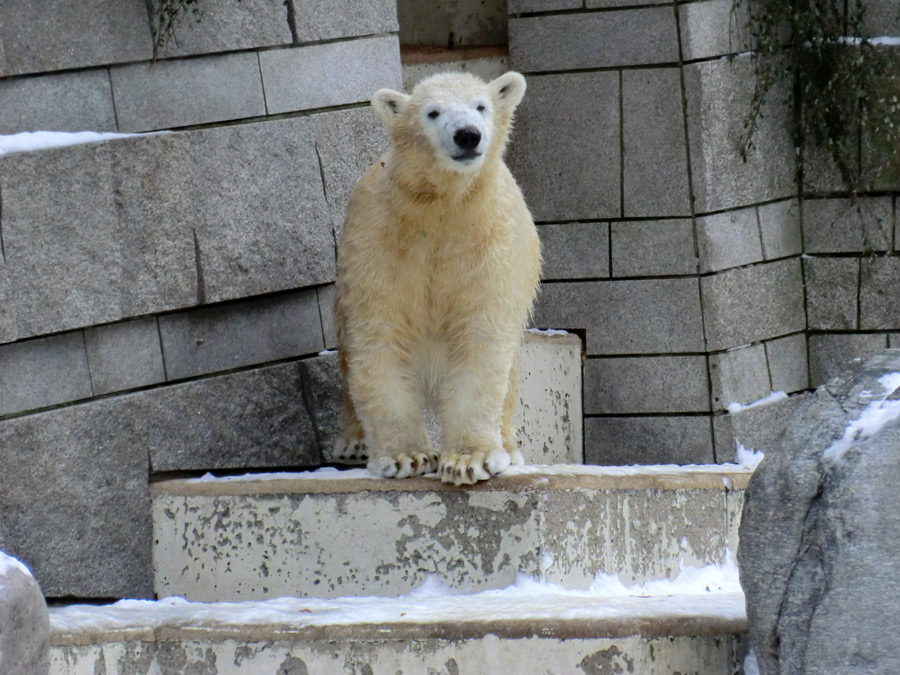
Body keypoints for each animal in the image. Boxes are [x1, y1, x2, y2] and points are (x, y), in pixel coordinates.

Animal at [332, 72, 536, 486]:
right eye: (433, 112)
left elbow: (481, 338)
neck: (443, 202)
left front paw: (469, 460)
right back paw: (354, 443)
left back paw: (508, 448)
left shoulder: (487, 246)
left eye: (481, 105)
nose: (467, 135)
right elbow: (379, 334)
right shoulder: (380, 240)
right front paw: (405, 457)